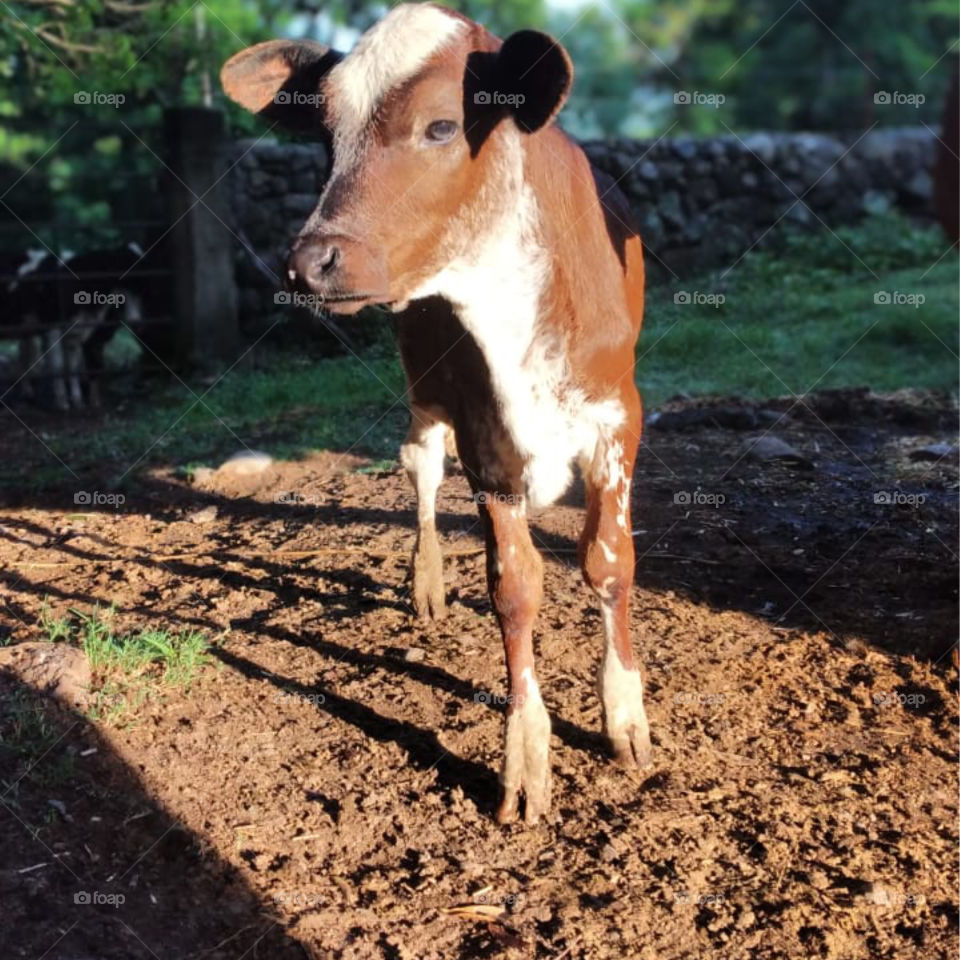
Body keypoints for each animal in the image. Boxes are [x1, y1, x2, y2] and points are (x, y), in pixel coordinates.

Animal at [222, 2, 651, 824]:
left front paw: (624, 714)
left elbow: (609, 561)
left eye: (443, 126)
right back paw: (426, 580)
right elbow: (514, 589)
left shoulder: (620, 415)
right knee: (421, 465)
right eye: (324, 135)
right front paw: (525, 755)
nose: (309, 261)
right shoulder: (487, 436)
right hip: (422, 381)